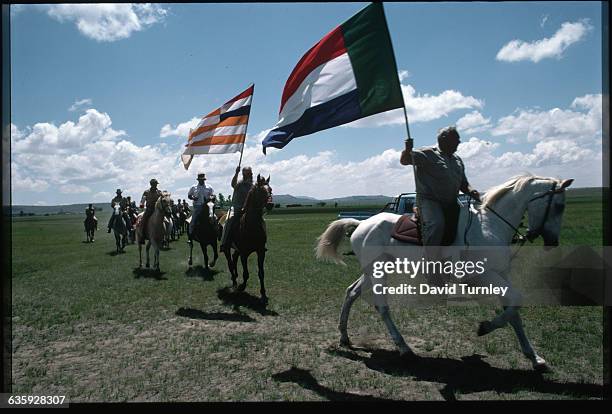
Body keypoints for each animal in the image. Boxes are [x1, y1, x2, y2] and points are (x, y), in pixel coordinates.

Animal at [224, 175, 274, 304]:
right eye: (261, 191)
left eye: (270, 189)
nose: (270, 204)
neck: (251, 226)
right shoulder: (244, 253)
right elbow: (246, 273)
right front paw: (242, 286)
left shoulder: (260, 251)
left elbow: (261, 273)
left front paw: (263, 294)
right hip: (227, 248)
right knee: (230, 263)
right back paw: (234, 282)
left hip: (237, 249)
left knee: (234, 258)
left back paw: (236, 277)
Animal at [316, 175, 572, 372]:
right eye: (559, 206)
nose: (553, 242)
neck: (489, 225)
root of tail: (361, 224)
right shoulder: (483, 276)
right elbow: (516, 302)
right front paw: (485, 327)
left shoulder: (501, 275)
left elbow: (514, 311)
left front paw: (535, 358)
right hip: (377, 273)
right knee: (382, 306)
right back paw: (404, 348)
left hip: (374, 270)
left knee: (351, 292)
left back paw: (344, 337)